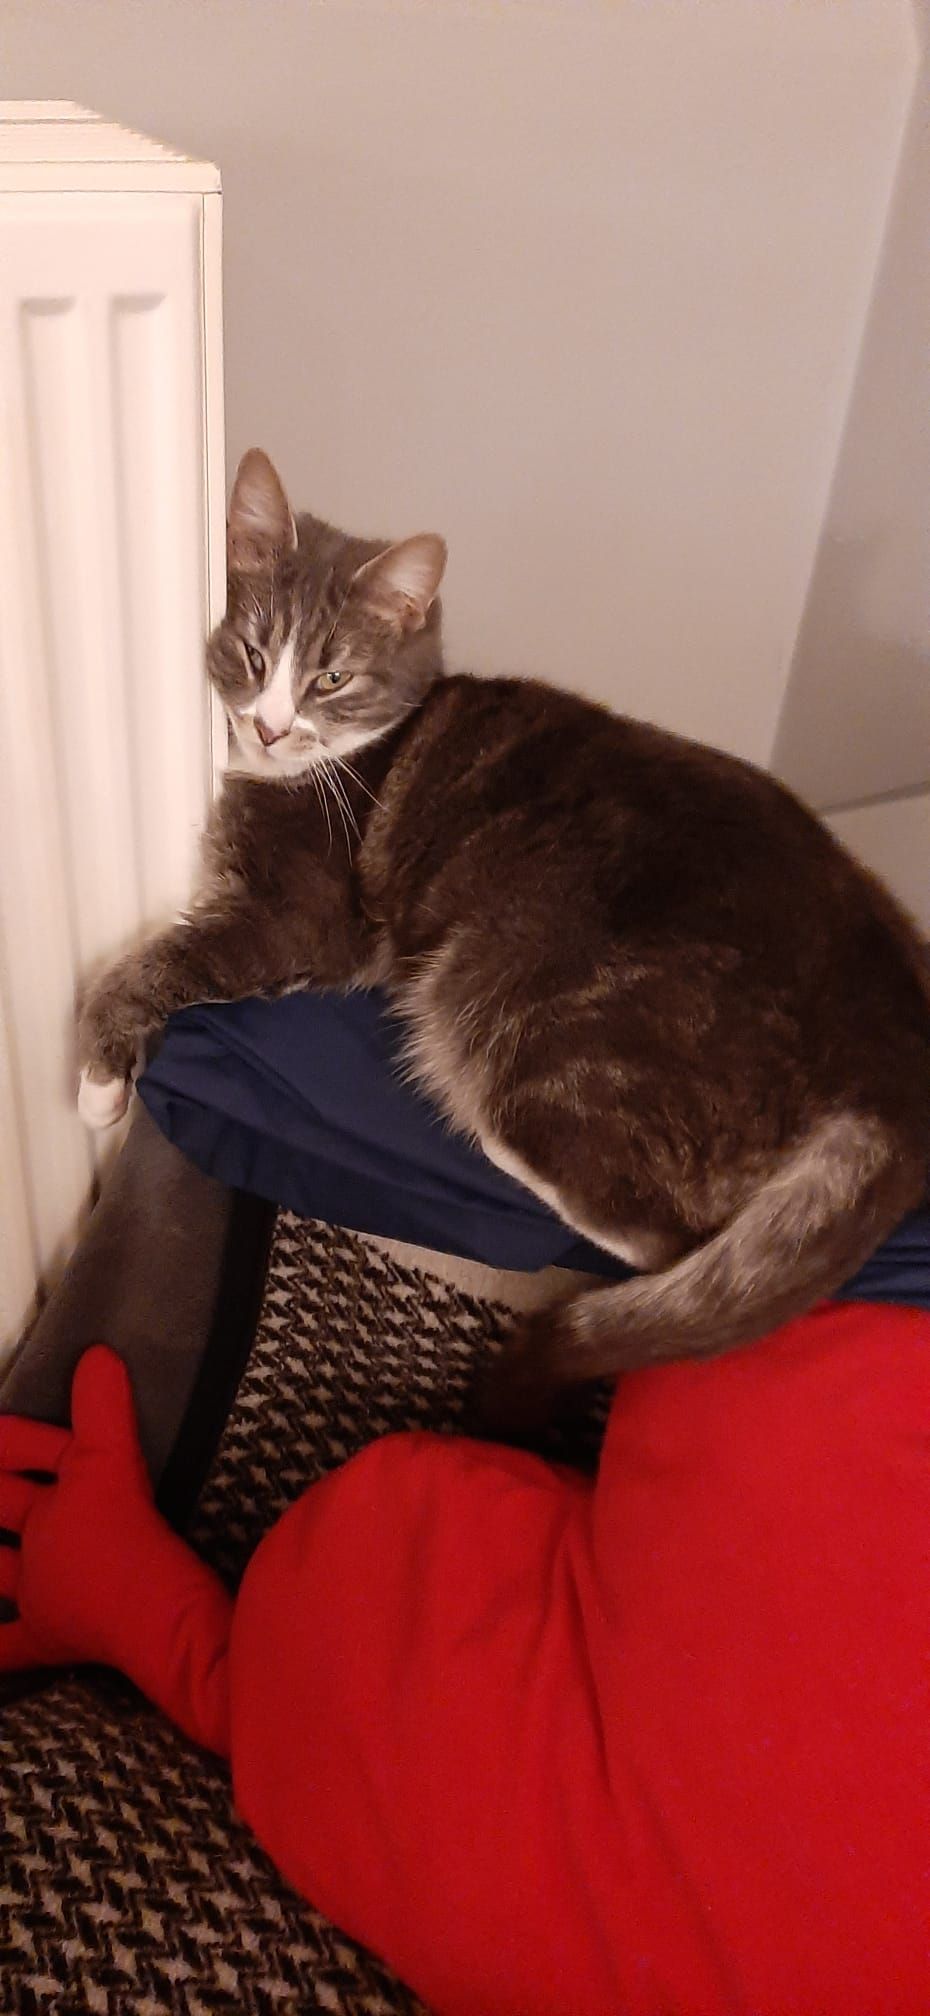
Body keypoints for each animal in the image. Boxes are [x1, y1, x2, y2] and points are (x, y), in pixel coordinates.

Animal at [77, 448, 930, 1430]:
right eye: (254, 653)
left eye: (332, 679)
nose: (270, 724)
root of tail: (895, 1065)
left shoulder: (307, 914)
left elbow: (163, 960)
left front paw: (98, 1082)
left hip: (510, 994)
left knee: (652, 1234)